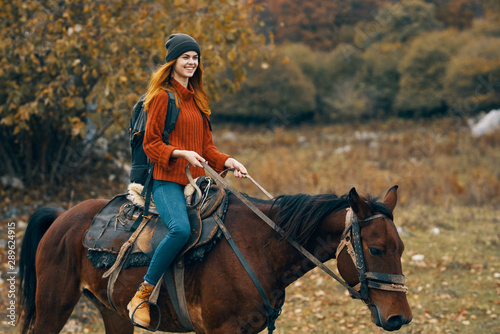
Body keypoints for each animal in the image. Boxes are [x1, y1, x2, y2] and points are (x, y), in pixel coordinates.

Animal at [18, 184, 410, 332]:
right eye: (376, 249)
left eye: (402, 249)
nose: (400, 317)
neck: (259, 250)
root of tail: (62, 217)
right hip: (53, 308)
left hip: (112, 312)